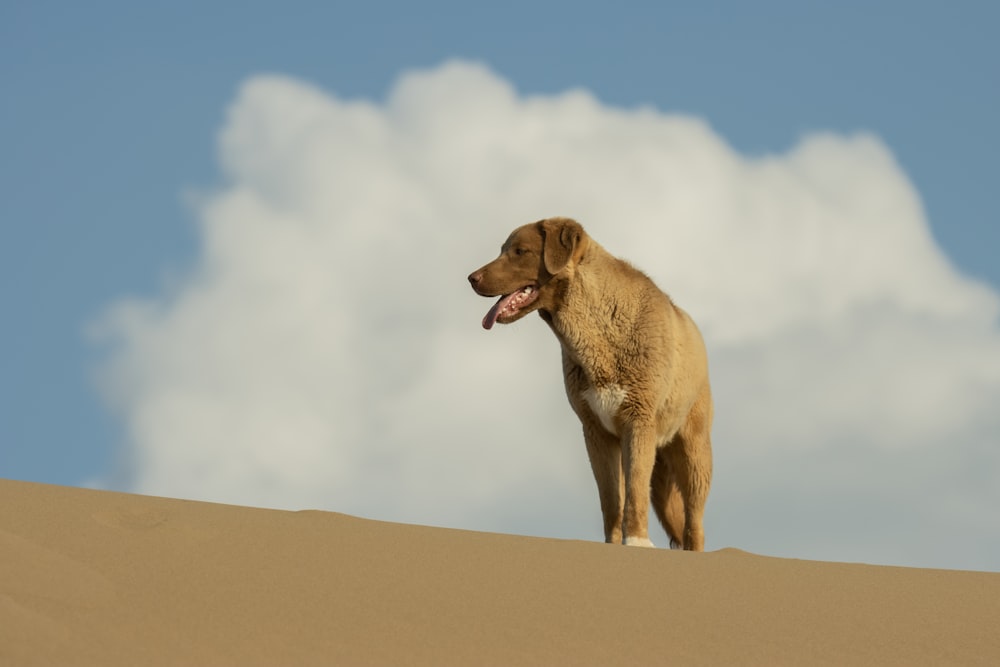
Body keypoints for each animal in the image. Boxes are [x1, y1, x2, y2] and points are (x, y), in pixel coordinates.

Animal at [468, 217, 712, 552]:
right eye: (503, 250)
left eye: (520, 251)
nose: (471, 278)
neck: (598, 328)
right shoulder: (596, 431)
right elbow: (611, 501)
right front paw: (613, 544)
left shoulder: (639, 421)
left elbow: (634, 493)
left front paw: (637, 541)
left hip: (694, 451)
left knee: (694, 524)